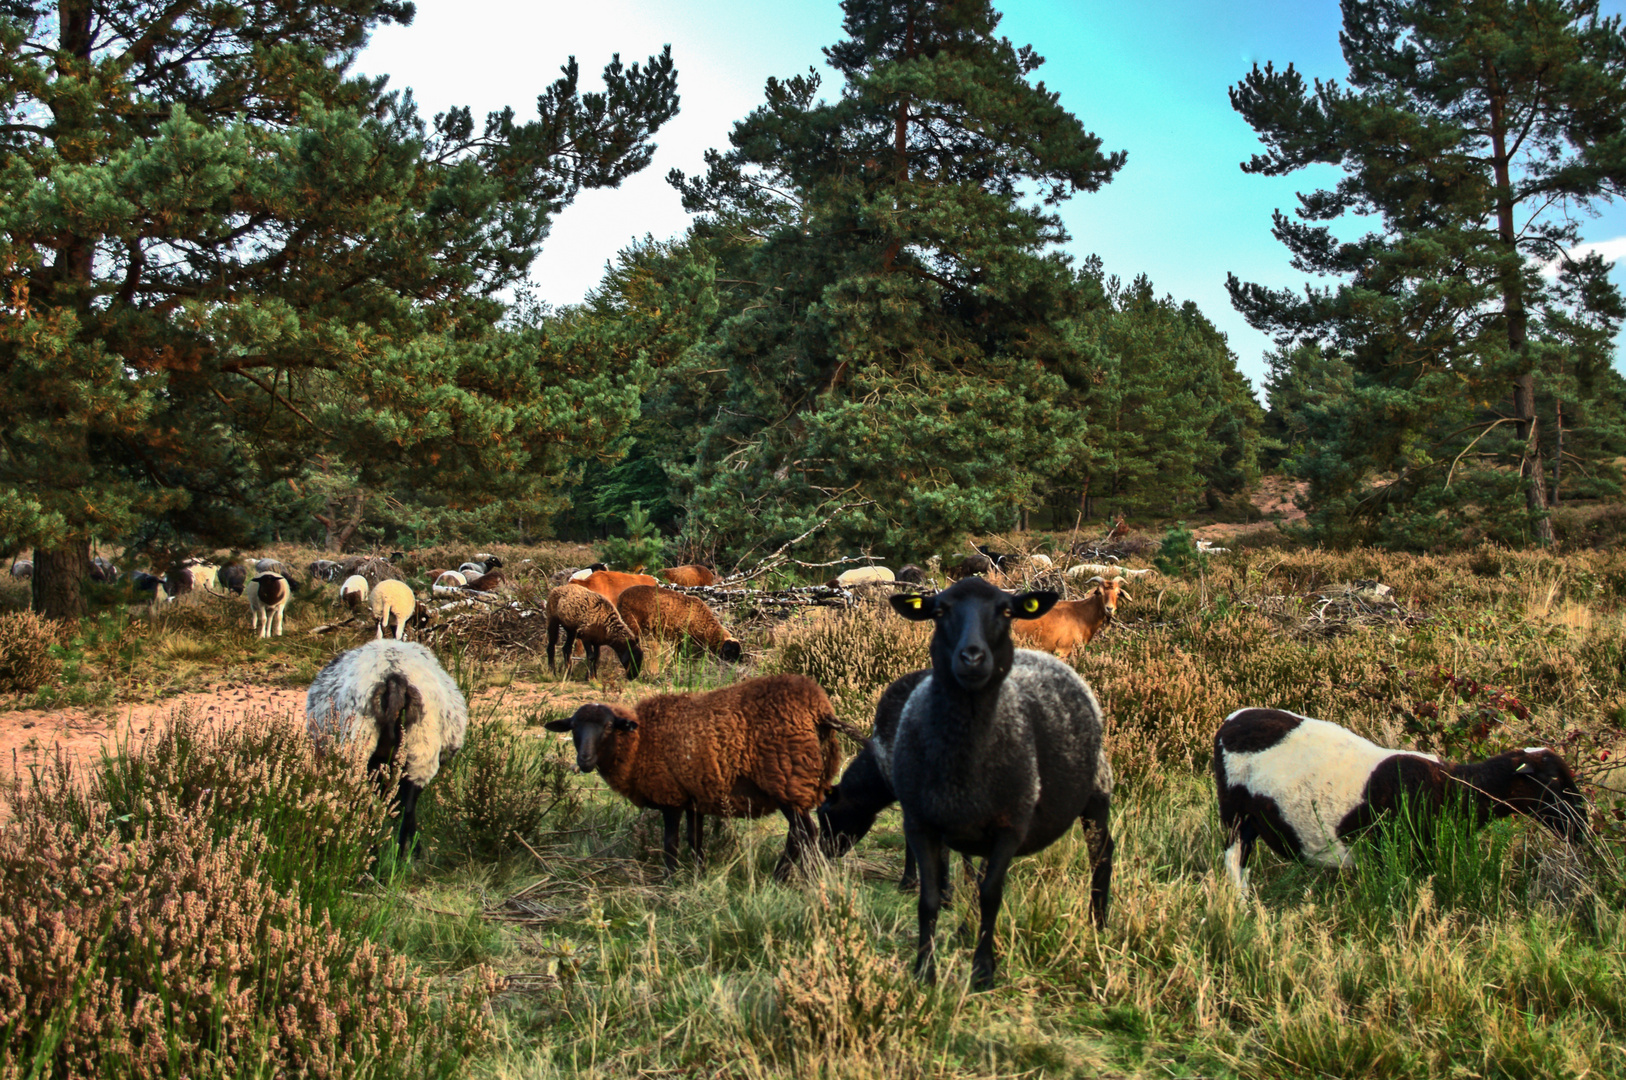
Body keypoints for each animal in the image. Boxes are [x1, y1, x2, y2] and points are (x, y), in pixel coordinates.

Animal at [305, 640, 471, 852]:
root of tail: (393, 674)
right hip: (420, 746)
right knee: (405, 807)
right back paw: (402, 853)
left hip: (369, 745)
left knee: (380, 806)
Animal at [546, 679, 845, 884]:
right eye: (573, 727)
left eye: (608, 727)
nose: (584, 760)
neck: (641, 742)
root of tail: (819, 709)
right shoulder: (694, 797)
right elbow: (695, 839)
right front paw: (699, 875)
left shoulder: (670, 796)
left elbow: (671, 842)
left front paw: (669, 880)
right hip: (799, 785)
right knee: (802, 834)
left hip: (787, 783)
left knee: (804, 834)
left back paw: (784, 876)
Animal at [614, 585, 744, 663]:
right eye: (732, 651)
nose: (739, 662)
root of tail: (621, 597)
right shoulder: (681, 637)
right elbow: (678, 654)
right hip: (632, 623)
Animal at [1216, 705, 1580, 891]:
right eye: (1553, 782)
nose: (1581, 829)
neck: (1456, 788)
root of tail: (1231, 720)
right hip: (1235, 814)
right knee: (1234, 862)